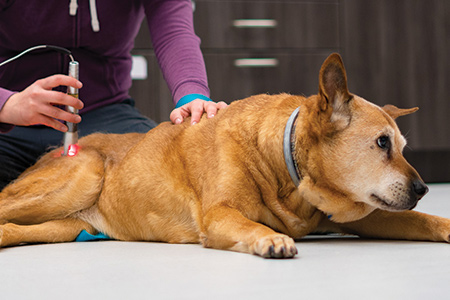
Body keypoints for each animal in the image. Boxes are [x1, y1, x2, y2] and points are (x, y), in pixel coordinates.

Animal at [0, 53, 450, 255]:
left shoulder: (368, 216)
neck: (284, 167)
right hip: (85, 174)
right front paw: (271, 238)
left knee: (14, 228)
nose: (424, 188)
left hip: (61, 225)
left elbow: (420, 221)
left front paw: (444, 223)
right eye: (381, 143)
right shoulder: (219, 216)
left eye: (402, 147)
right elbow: (250, 224)